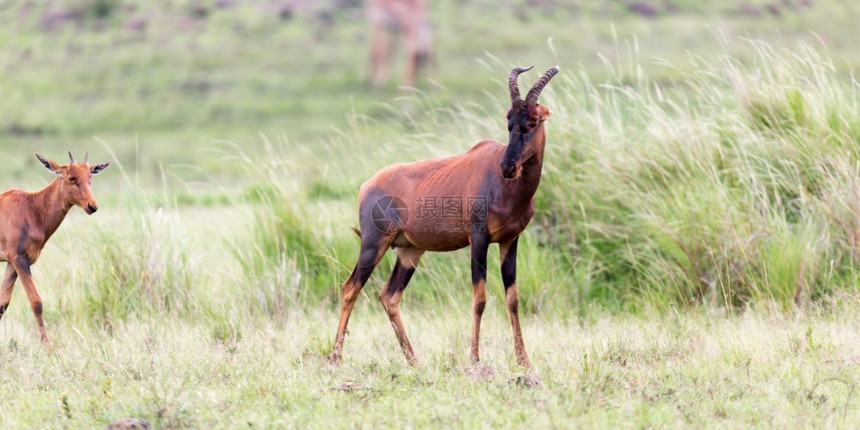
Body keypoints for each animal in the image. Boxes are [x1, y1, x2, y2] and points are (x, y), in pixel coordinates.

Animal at [0, 153, 111, 344]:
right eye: (72, 178)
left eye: (90, 178)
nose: (92, 206)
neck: (31, 207)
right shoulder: (20, 260)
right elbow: (36, 303)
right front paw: (48, 348)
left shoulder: (12, 263)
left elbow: (2, 304)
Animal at [332, 64, 560, 366]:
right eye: (509, 122)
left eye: (533, 120)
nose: (507, 167)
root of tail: (367, 185)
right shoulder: (479, 239)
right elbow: (479, 298)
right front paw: (474, 359)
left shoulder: (510, 241)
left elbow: (512, 299)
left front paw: (523, 360)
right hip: (373, 243)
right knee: (350, 289)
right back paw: (335, 357)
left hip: (409, 251)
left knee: (389, 296)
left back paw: (413, 360)